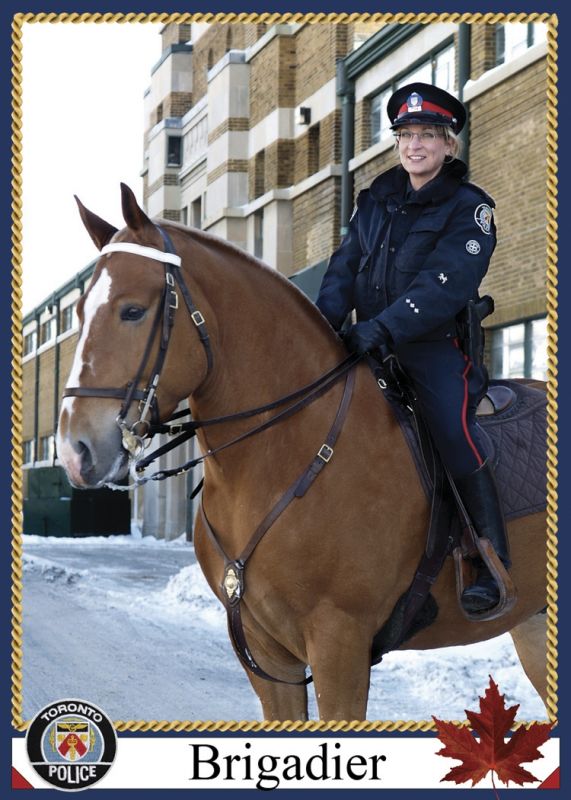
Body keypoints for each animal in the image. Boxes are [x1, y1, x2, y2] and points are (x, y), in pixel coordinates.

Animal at [56, 183, 549, 721]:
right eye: (78, 314)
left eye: (132, 311)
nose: (74, 449)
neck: (280, 457)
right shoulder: (265, 654)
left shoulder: (340, 643)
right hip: (533, 624)